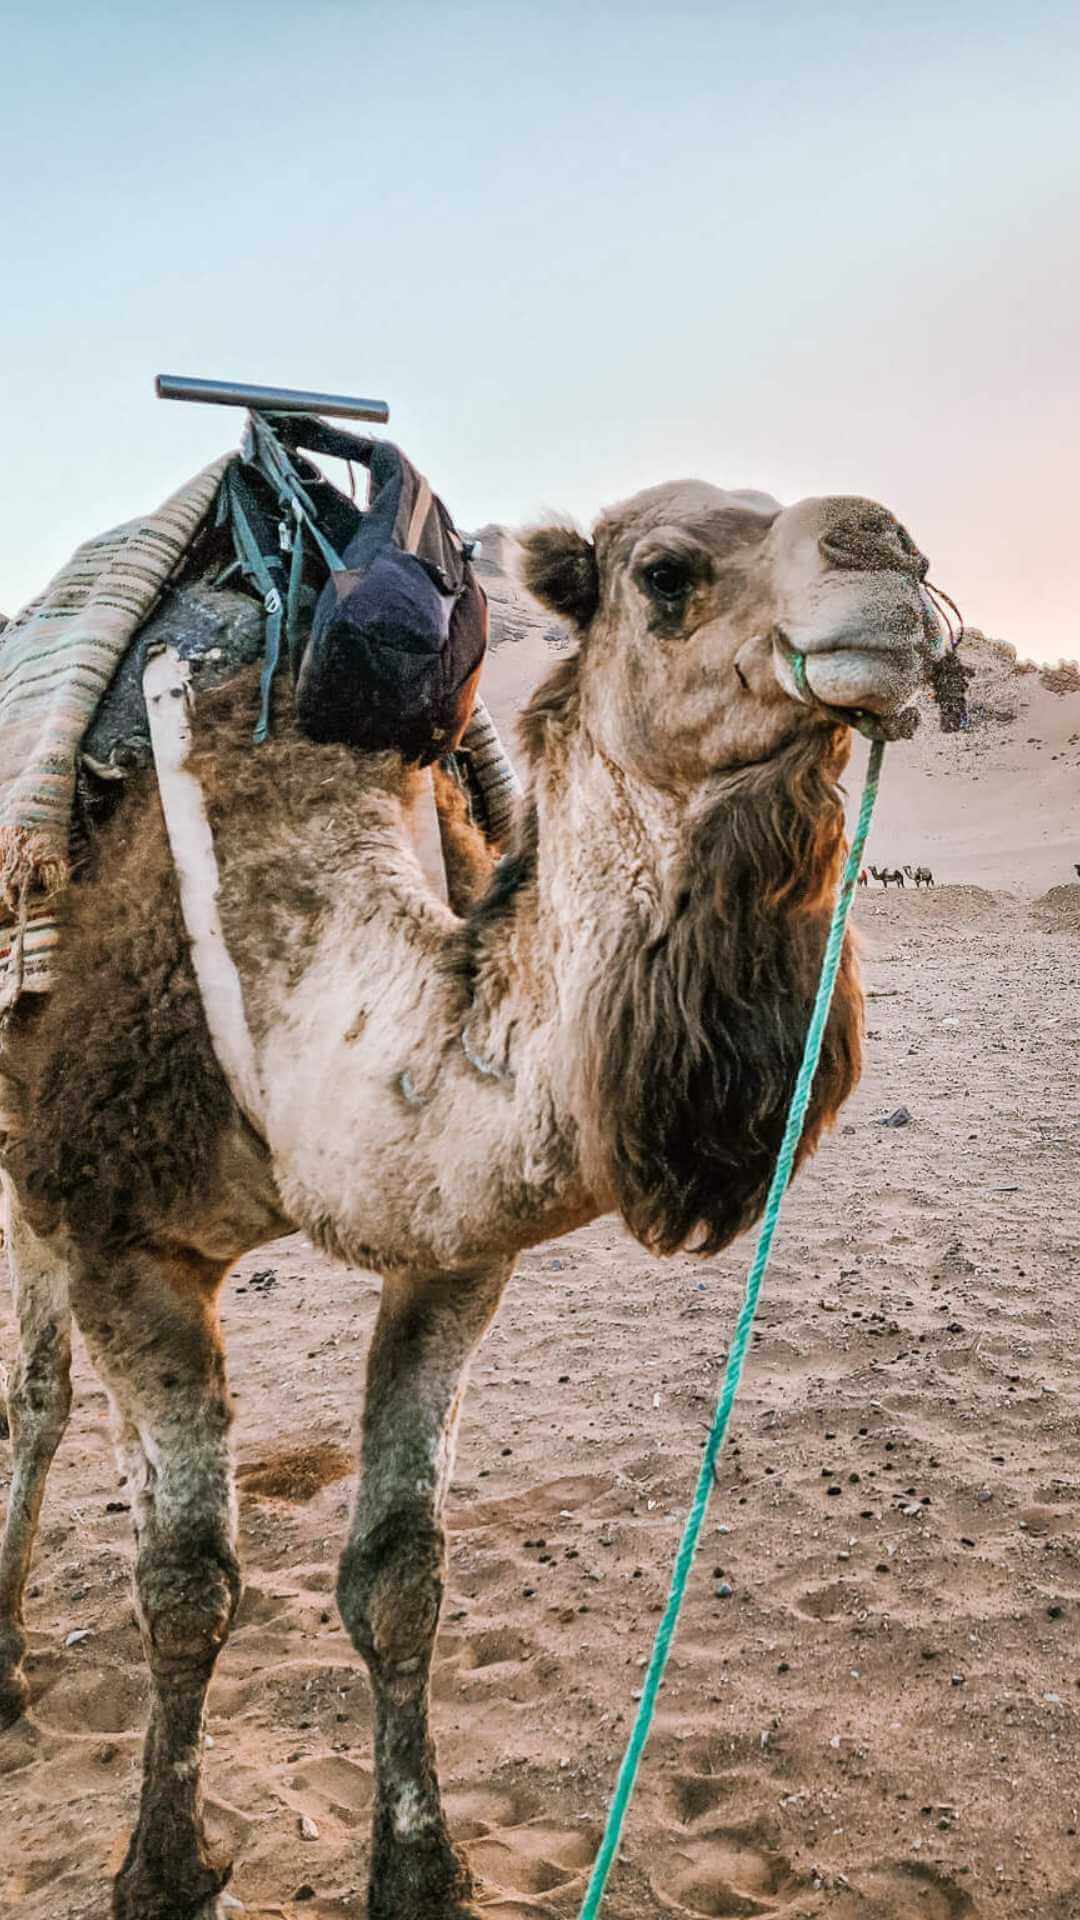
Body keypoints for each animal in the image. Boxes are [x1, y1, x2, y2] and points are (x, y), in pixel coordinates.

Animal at [0, 480, 926, 1920]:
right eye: (667, 573)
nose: (889, 556)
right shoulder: (122, 1240)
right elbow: (186, 1584)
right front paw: (161, 1869)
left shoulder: (453, 1256)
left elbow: (400, 1574)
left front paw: (422, 1870)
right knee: (37, 1403)